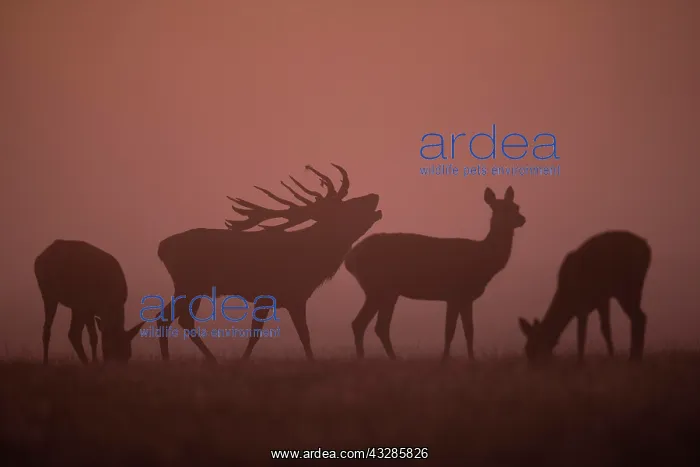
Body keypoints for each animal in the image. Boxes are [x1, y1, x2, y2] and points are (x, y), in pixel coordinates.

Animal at [155, 163, 382, 363]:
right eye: (345, 208)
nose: (374, 195)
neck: (312, 261)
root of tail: (161, 247)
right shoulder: (275, 294)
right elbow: (271, 333)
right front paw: (244, 361)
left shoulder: (293, 297)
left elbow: (298, 334)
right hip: (189, 284)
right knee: (174, 318)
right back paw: (193, 360)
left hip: (192, 287)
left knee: (171, 317)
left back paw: (182, 359)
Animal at [344, 186, 526, 361]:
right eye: (502, 209)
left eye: (516, 206)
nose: (522, 219)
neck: (483, 260)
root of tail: (350, 259)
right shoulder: (455, 293)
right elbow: (449, 330)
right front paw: (445, 359)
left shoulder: (466, 297)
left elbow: (469, 330)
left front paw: (472, 359)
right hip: (378, 287)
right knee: (368, 324)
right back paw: (378, 359)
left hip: (385, 291)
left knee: (371, 325)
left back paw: (382, 358)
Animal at [518, 230, 651, 364]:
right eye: (526, 349)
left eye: (534, 348)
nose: (531, 365)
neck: (566, 298)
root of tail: (647, 248)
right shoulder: (602, 299)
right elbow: (605, 328)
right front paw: (611, 356)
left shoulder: (582, 305)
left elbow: (581, 335)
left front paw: (580, 362)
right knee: (639, 316)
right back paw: (635, 356)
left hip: (627, 287)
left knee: (639, 316)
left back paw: (634, 357)